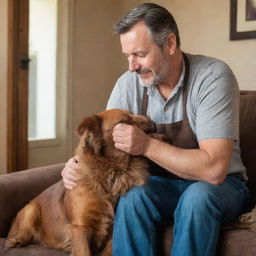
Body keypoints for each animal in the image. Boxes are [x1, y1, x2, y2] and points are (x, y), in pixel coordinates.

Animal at [6, 109, 157, 256]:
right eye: (124, 121)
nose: (153, 122)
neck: (111, 171)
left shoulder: (113, 232)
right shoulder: (80, 228)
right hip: (30, 210)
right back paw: (15, 241)